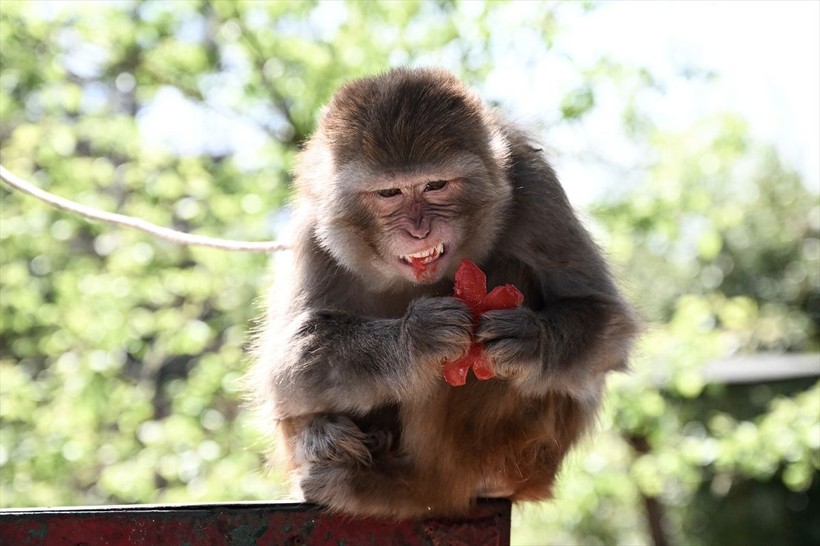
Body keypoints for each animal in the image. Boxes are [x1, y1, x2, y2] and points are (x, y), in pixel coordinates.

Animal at [250, 68, 640, 520]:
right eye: (390, 193)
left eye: (436, 185)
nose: (419, 230)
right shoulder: (313, 231)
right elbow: (284, 371)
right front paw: (415, 338)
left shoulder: (536, 184)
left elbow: (605, 319)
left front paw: (529, 339)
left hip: (524, 454)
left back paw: (409, 485)